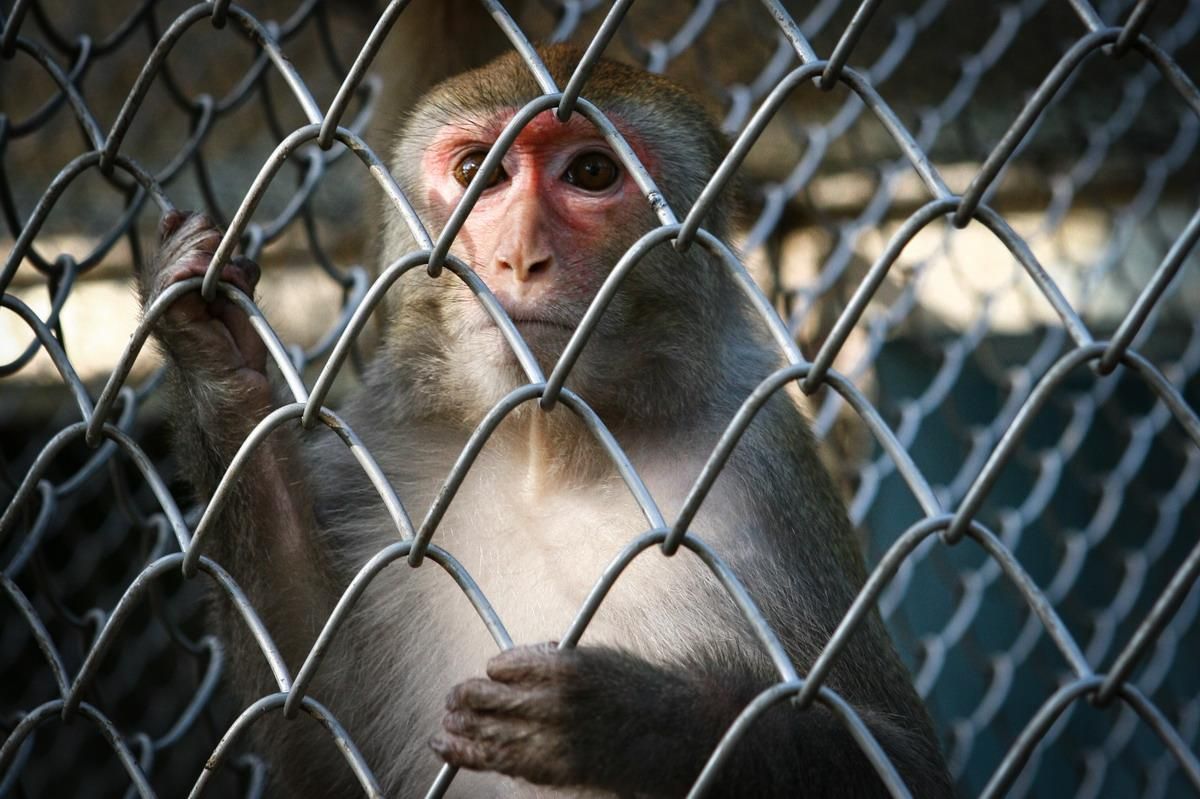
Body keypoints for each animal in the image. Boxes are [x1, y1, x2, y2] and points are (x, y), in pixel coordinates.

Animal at [136, 46, 950, 791]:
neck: (546, 440)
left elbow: (900, 757)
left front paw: (626, 717)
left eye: (591, 173)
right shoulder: (375, 447)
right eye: (478, 171)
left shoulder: (766, 468)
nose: (519, 258)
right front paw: (211, 350)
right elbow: (317, 726)